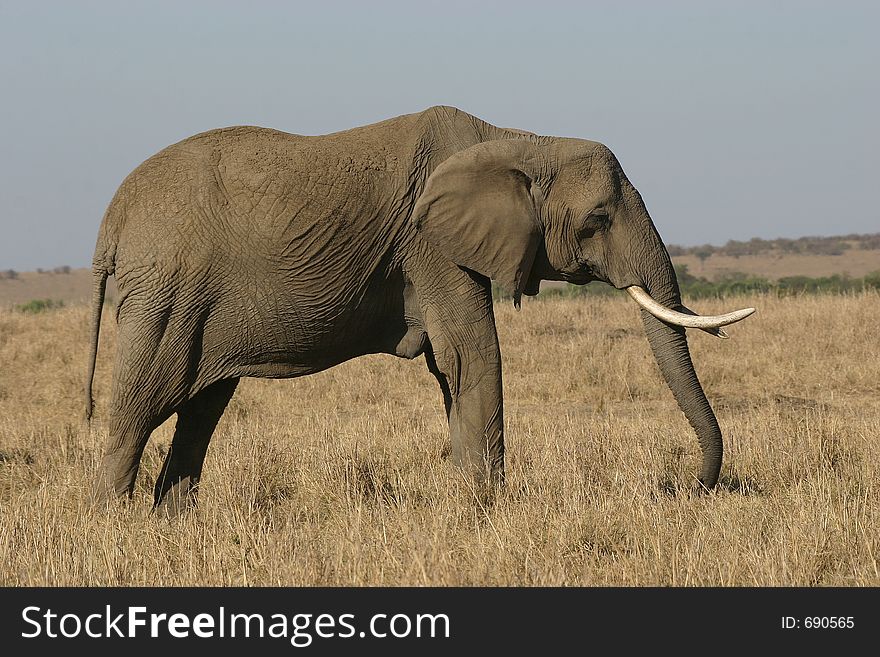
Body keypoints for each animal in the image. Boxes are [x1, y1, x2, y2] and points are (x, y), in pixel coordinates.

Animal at [84, 104, 756, 512]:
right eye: (598, 219)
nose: (687, 489)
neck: (518, 139)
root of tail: (112, 216)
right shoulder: (432, 244)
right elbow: (473, 357)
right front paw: (489, 510)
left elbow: (451, 368)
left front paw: (470, 504)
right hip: (168, 288)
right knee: (141, 406)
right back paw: (112, 524)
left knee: (200, 409)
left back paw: (171, 523)